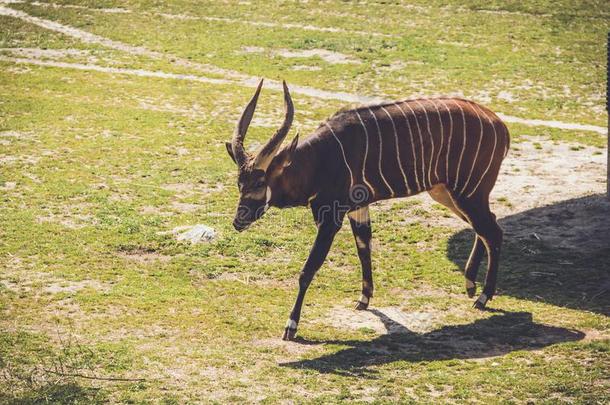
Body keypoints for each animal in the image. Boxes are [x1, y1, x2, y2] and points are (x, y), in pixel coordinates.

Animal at [226, 78, 506, 338]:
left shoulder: (330, 219)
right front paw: (364, 299)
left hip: (467, 194)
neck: (320, 160)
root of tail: (500, 126)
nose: (238, 221)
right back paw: (470, 285)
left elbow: (308, 269)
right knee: (487, 226)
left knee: (493, 231)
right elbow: (364, 247)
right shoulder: (357, 209)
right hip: (446, 193)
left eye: (260, 182)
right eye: (240, 182)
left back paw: (482, 297)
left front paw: (291, 326)